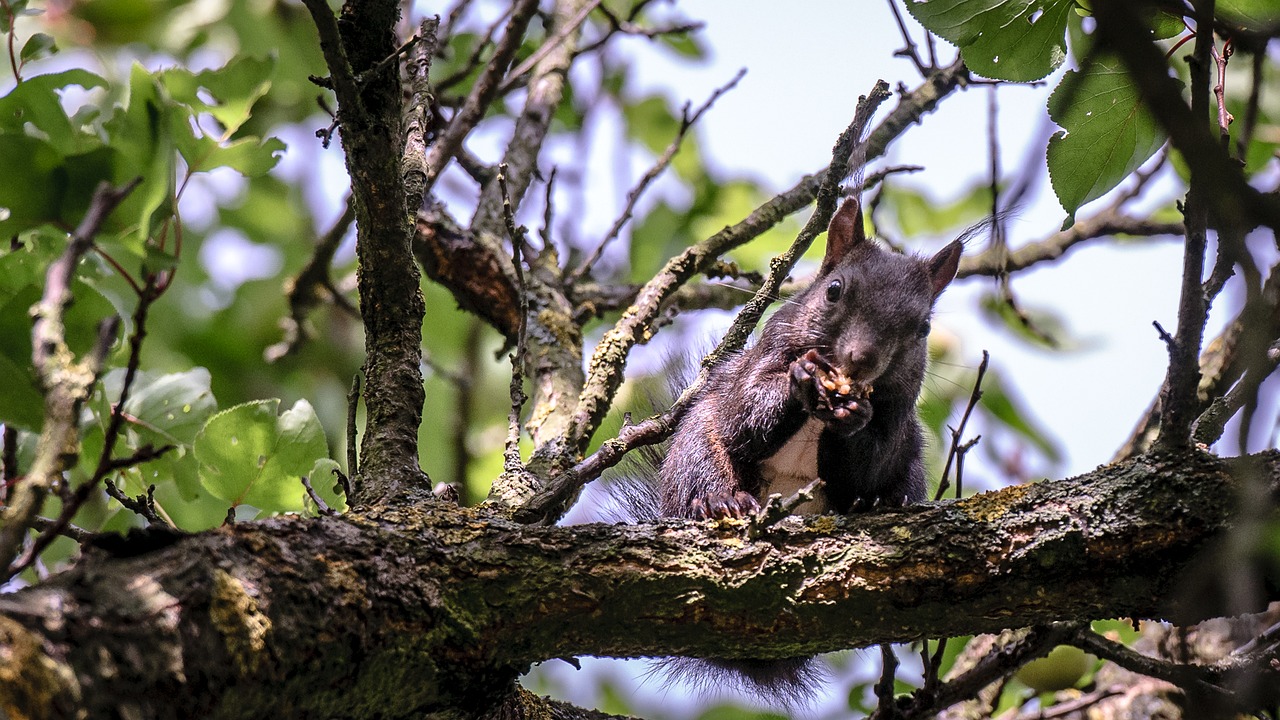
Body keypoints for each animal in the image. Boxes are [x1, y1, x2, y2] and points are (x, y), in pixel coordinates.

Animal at [650, 194, 962, 702]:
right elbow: (745, 415)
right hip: (693, 447)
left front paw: (852, 420)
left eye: (923, 328)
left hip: (912, 470)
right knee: (702, 469)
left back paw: (882, 503)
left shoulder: (898, 416)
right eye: (833, 291)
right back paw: (717, 502)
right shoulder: (763, 356)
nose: (861, 360)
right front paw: (801, 380)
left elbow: (867, 467)